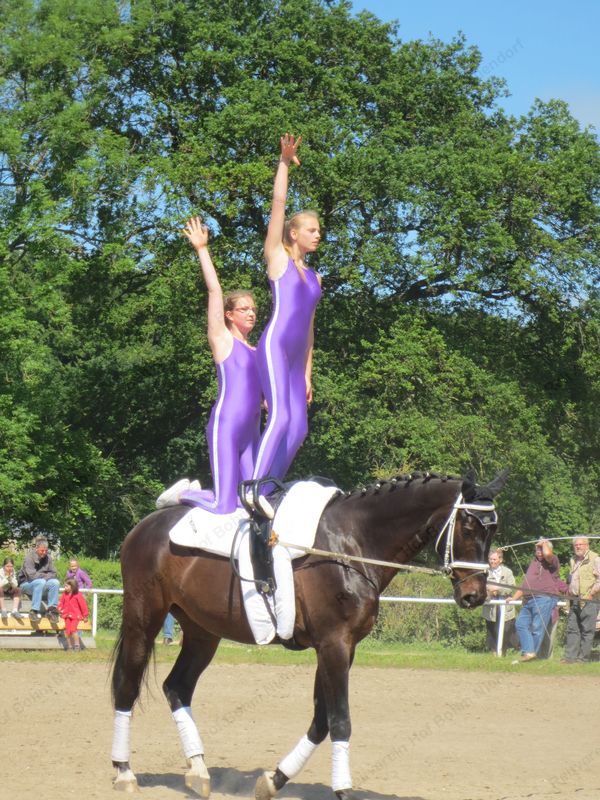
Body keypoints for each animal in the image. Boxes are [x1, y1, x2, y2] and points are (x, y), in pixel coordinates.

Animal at [111, 469, 507, 798]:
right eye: (468, 528)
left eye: (493, 531)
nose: (475, 595)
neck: (351, 545)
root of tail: (147, 524)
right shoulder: (334, 644)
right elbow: (340, 720)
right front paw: (343, 790)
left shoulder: (341, 647)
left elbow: (321, 720)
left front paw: (274, 780)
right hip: (144, 618)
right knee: (127, 686)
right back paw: (124, 772)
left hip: (202, 632)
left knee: (177, 687)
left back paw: (198, 771)